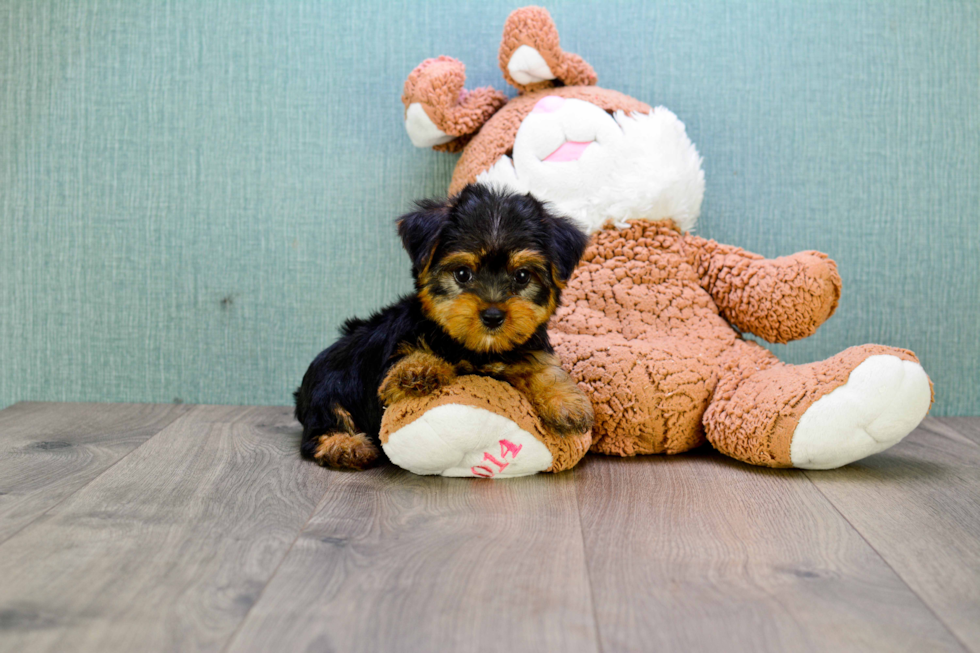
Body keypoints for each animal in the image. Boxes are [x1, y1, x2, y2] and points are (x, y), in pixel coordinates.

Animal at [292, 183, 588, 468]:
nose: (493, 315)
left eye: (523, 276)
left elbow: (544, 369)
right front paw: (417, 370)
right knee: (324, 423)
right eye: (462, 274)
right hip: (328, 387)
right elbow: (408, 356)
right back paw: (345, 446)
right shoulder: (398, 346)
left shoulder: (528, 349)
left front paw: (567, 403)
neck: (477, 349)